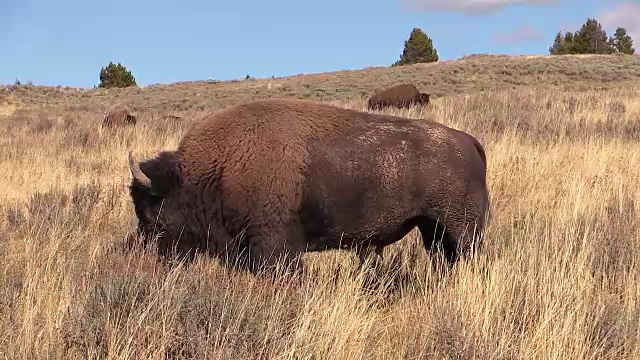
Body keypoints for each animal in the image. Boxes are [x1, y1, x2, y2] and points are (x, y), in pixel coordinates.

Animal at [129, 98, 490, 276]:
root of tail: (469, 142)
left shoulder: (275, 245)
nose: (145, 255)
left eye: (151, 213)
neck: (218, 167)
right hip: (431, 229)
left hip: (461, 229)